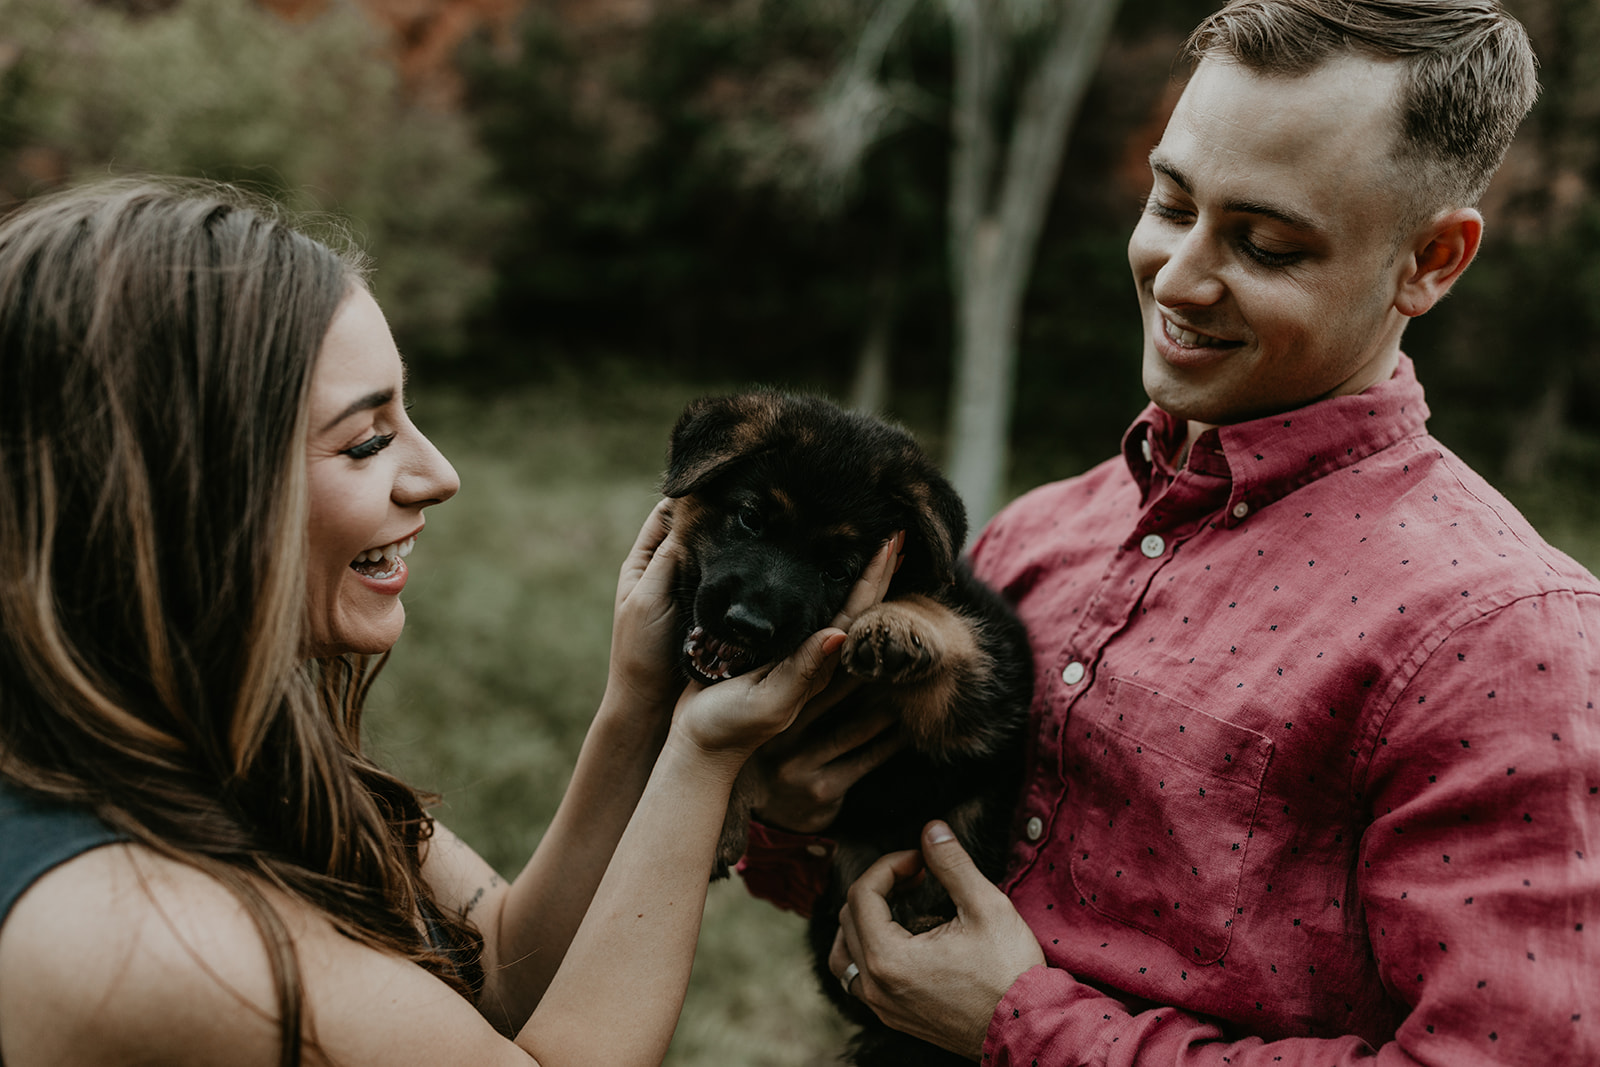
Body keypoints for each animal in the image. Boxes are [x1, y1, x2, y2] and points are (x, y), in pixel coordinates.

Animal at [656, 390, 1030, 1067]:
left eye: (840, 567)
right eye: (750, 519)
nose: (747, 624)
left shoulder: (985, 705)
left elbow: (947, 618)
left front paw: (898, 624)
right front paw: (719, 817)